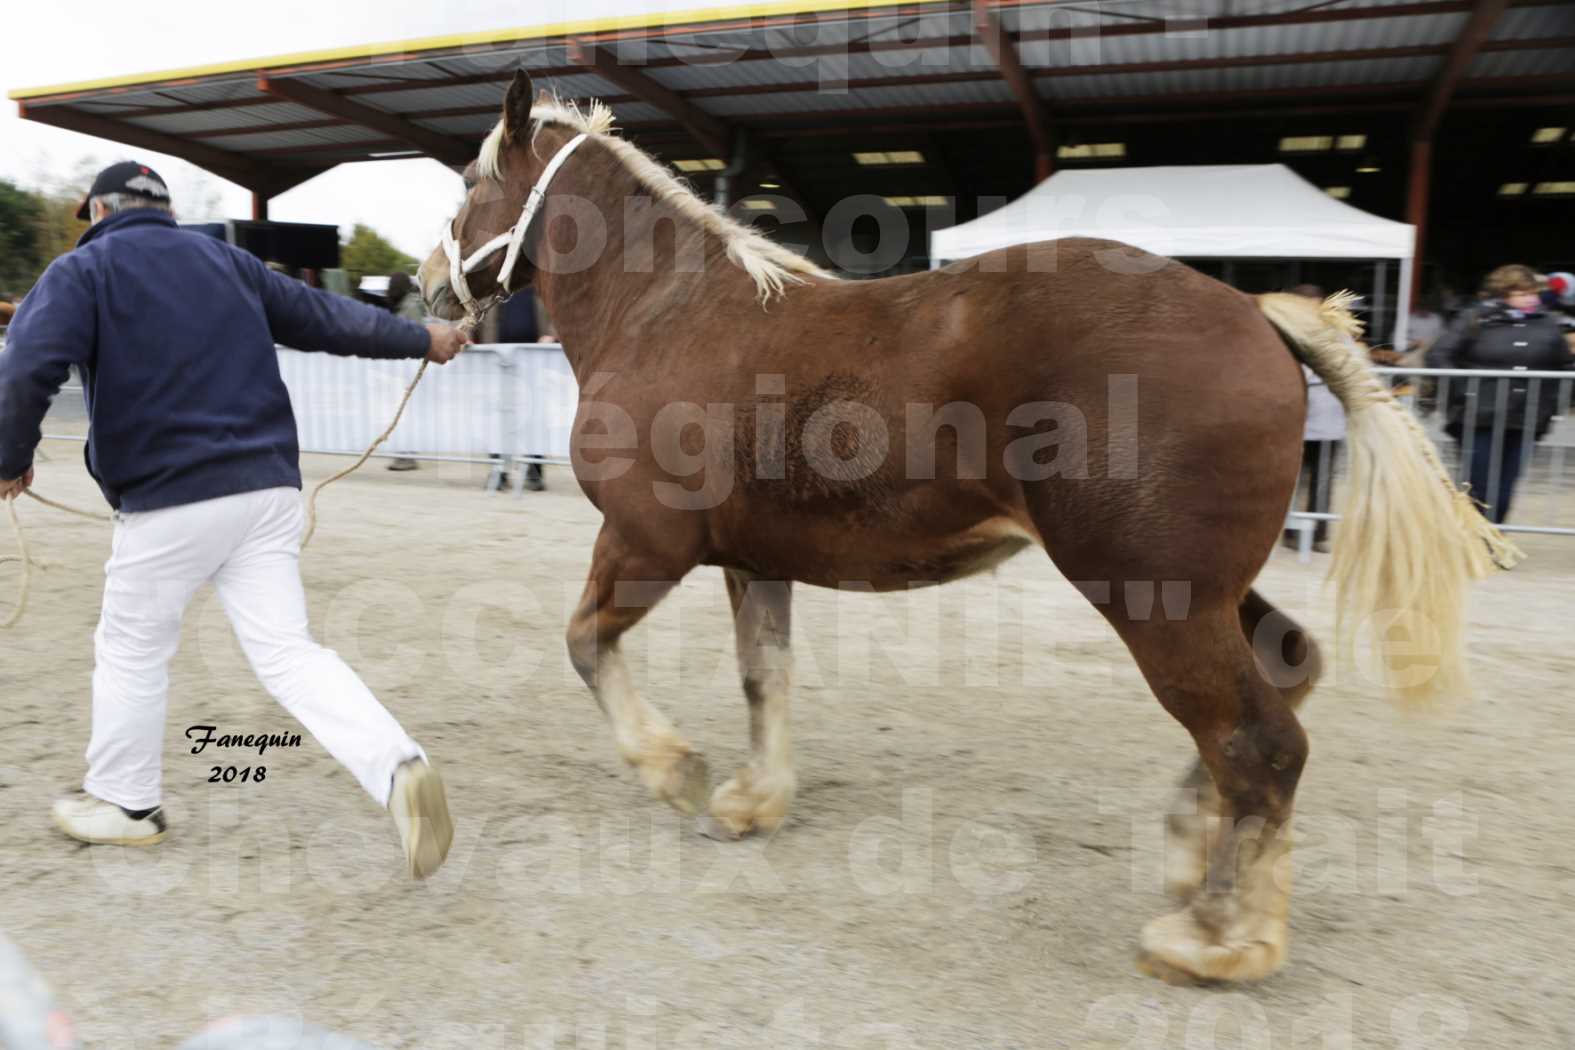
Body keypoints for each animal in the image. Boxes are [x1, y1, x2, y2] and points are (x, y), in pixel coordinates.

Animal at [422, 72, 1512, 988]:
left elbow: (584, 642)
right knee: (1286, 672)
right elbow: (763, 675)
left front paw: (674, 769)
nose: (433, 287)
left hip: (1154, 599)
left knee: (1258, 743)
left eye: (470, 181)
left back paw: (1216, 937)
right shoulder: (751, 560)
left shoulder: (647, 545)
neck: (671, 315)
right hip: (1206, 592)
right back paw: (1193, 851)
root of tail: (1258, 318)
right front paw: (750, 800)